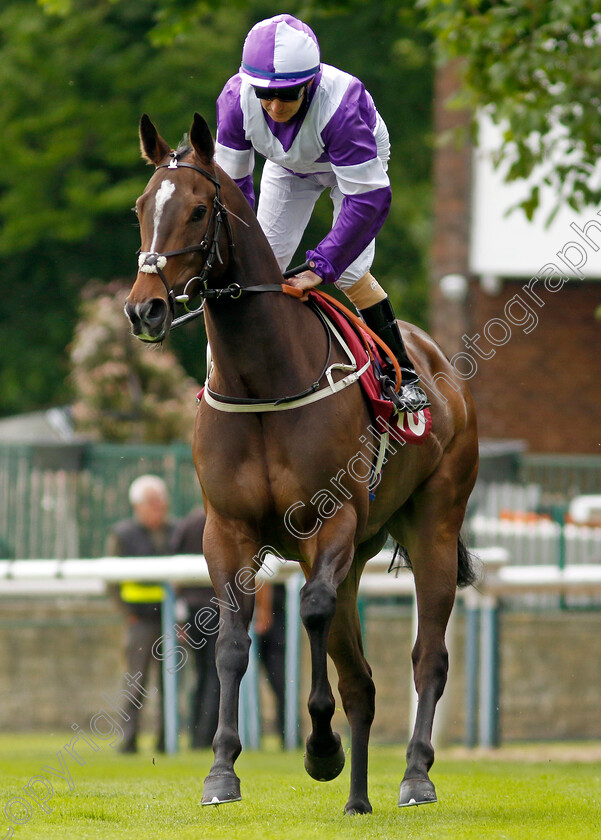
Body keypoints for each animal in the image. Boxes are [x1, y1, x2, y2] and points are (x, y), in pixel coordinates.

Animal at [124, 111, 476, 812]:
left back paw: (415, 774)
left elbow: (309, 612)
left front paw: (320, 749)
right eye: (143, 208)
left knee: (427, 655)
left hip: (433, 527)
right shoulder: (225, 531)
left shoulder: (330, 520)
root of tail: (442, 369)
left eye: (198, 210)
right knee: (361, 678)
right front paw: (221, 770)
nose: (144, 308)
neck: (263, 378)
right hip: (361, 550)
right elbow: (234, 642)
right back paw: (359, 799)